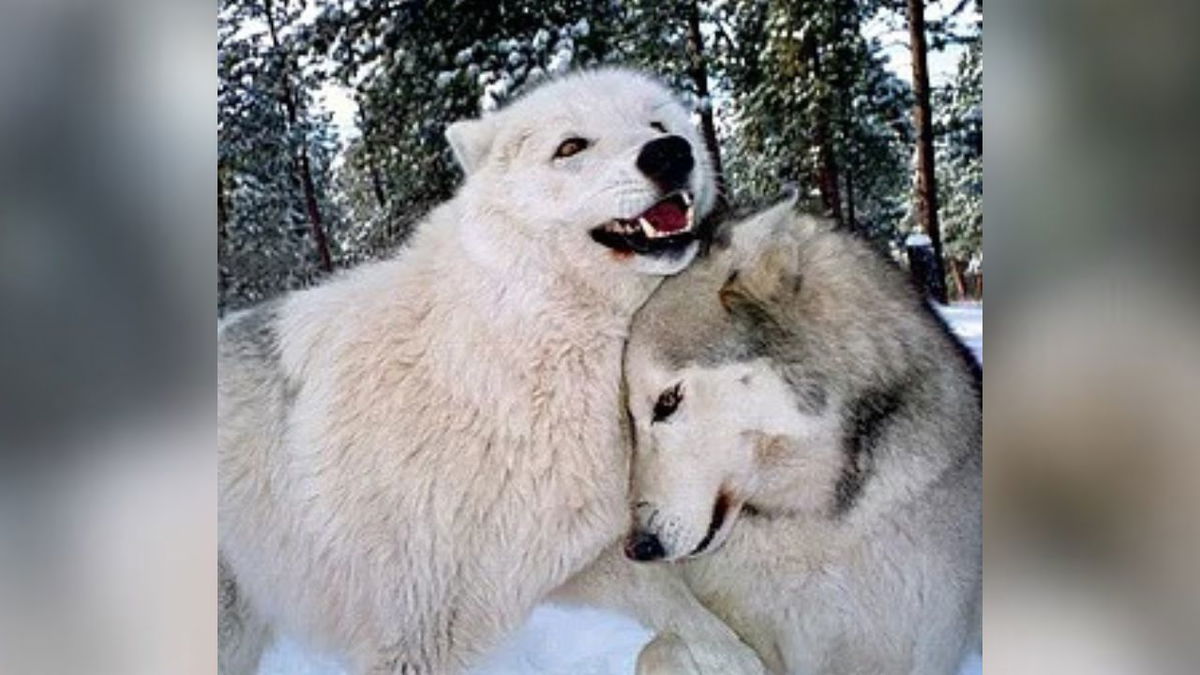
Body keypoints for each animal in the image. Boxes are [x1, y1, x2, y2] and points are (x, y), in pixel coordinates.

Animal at [218, 68, 765, 675]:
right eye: (571, 147)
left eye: (657, 123)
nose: (671, 153)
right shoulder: (412, 638)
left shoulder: (574, 556)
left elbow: (703, 626)